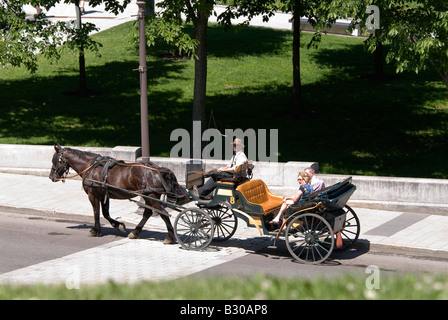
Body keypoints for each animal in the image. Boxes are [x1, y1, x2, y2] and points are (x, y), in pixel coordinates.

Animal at [48, 144, 190, 244]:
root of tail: (158, 169)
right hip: (149, 196)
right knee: (148, 213)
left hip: (151, 196)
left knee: (163, 214)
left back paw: (169, 237)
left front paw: (96, 230)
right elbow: (105, 213)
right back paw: (135, 232)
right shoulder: (104, 195)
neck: (90, 167)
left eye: (54, 160)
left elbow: (96, 213)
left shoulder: (93, 195)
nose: (51, 177)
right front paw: (119, 225)